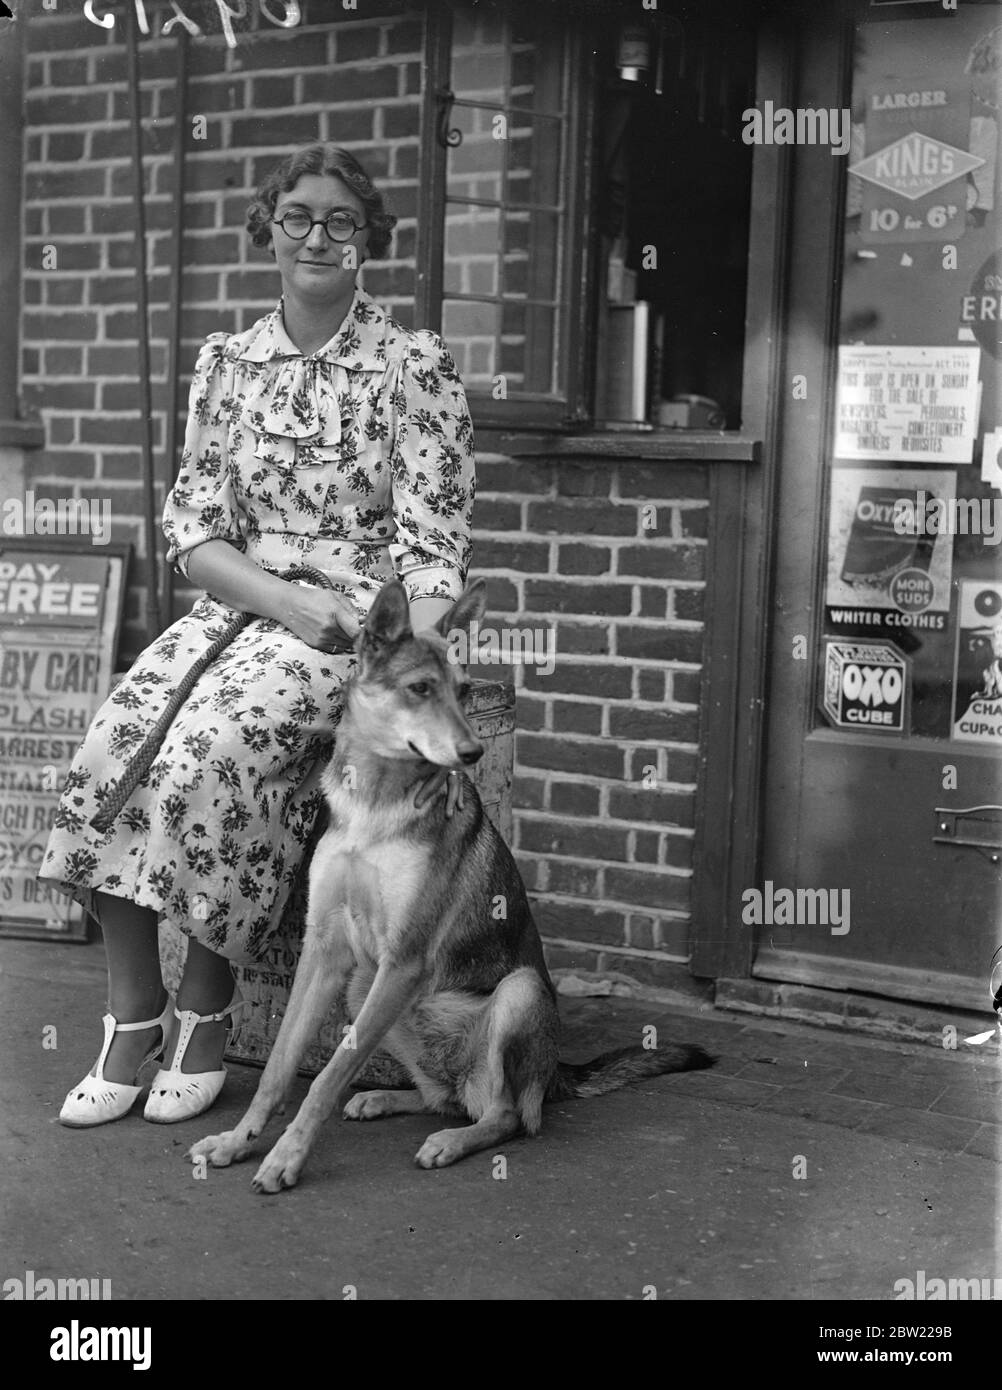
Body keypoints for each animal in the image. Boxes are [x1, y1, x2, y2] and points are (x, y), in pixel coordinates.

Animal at [189, 578, 711, 1195]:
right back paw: (386, 1099)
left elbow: (326, 1076)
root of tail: (555, 1073)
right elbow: (280, 1067)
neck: (376, 801)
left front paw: (286, 1156)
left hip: (515, 993)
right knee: (445, 1095)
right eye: (420, 688)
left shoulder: (404, 959)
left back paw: (451, 1141)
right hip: (364, 989)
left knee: (506, 1116)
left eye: (463, 693)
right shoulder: (327, 951)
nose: (473, 754)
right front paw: (238, 1141)